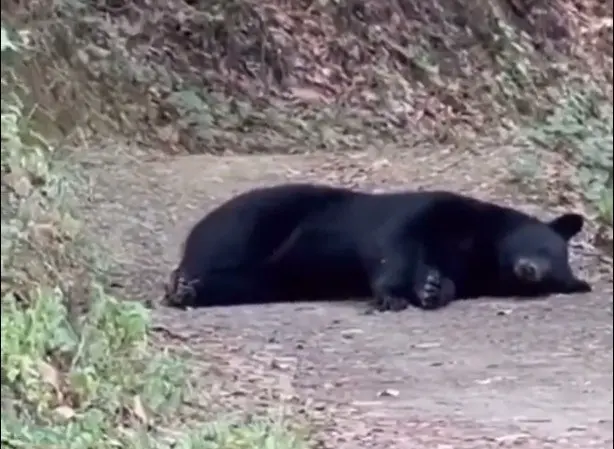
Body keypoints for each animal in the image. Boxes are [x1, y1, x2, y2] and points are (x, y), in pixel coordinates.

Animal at [162, 182, 592, 312]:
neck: (481, 247)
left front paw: (432, 288)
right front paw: (393, 294)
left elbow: (446, 278)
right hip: (258, 218)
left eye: (553, 277)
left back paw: (191, 291)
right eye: (545, 246)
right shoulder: (436, 210)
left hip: (276, 280)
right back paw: (182, 283)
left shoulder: (468, 270)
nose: (530, 271)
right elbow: (394, 242)